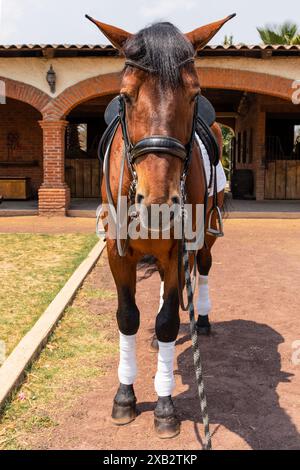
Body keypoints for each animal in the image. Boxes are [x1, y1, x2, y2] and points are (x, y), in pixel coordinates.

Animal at [86, 15, 234, 440]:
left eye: (194, 94)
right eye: (125, 96)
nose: (157, 204)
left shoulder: (175, 250)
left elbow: (169, 321)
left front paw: (165, 405)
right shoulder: (117, 253)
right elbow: (128, 317)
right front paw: (125, 396)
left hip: (204, 239)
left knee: (202, 270)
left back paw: (202, 319)